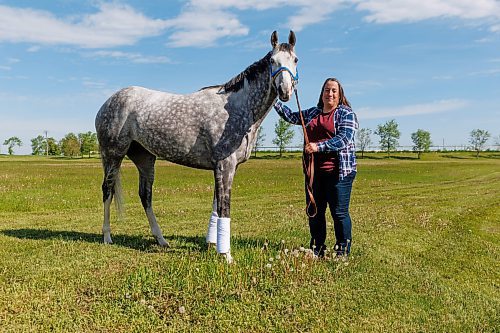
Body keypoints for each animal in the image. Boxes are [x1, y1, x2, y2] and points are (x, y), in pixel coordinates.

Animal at [94, 29, 298, 262]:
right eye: (273, 61)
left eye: (295, 60)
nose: (285, 91)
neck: (236, 108)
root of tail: (108, 103)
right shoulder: (225, 165)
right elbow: (225, 208)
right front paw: (226, 255)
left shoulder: (222, 167)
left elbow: (217, 207)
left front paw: (213, 245)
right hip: (113, 156)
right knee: (107, 190)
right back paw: (107, 236)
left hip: (145, 159)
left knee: (145, 195)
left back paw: (161, 240)